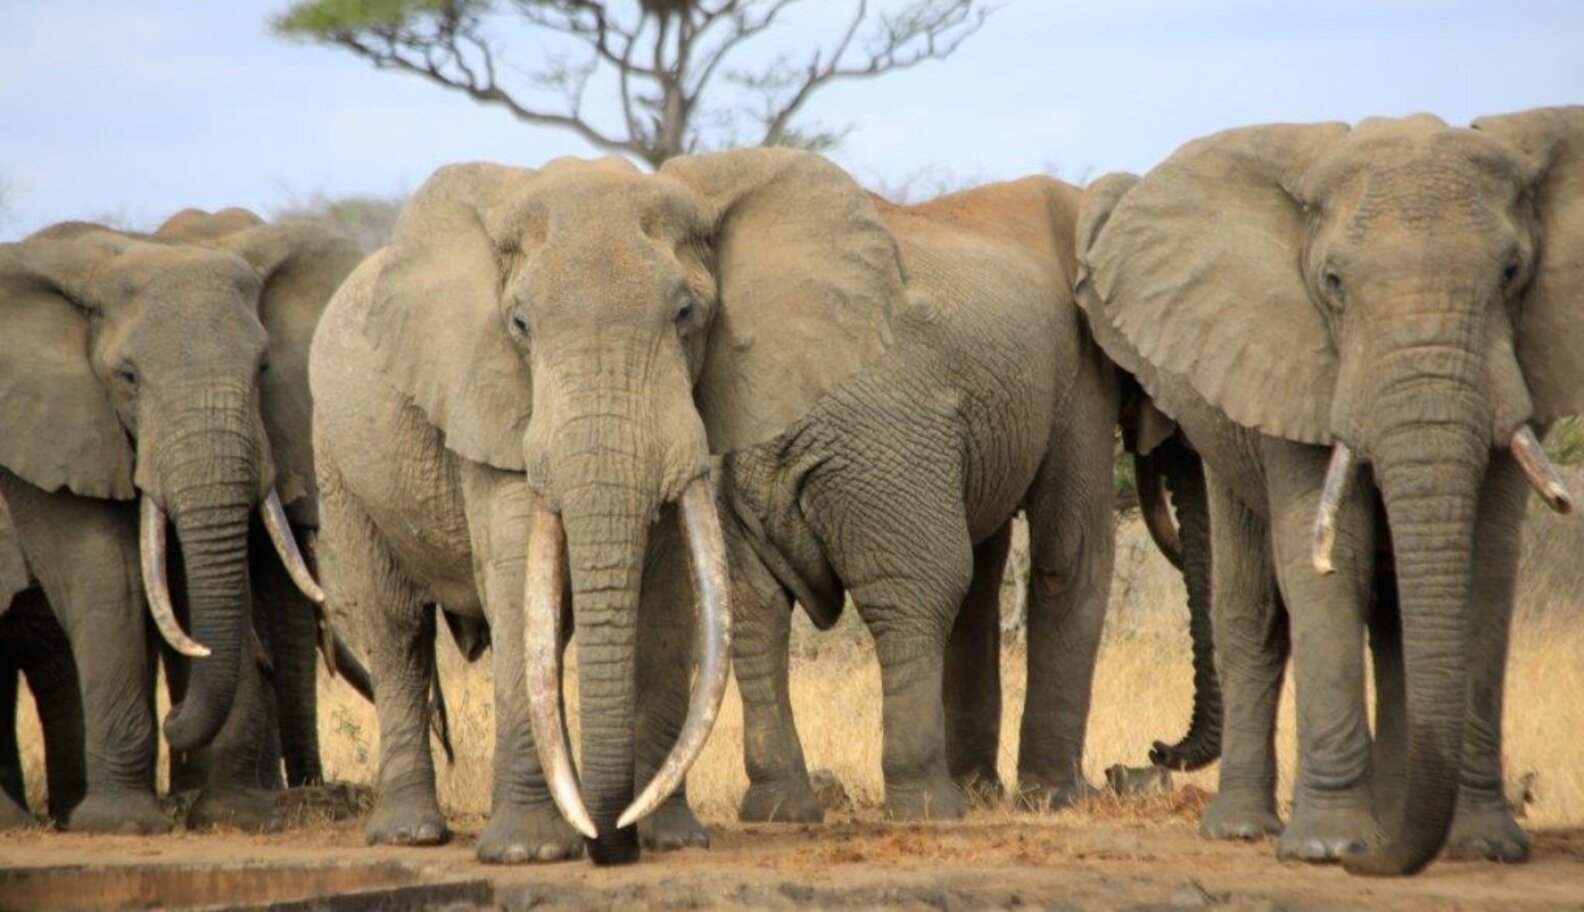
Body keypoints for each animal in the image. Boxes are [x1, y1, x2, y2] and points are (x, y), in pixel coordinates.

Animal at [0, 208, 361, 832]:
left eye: (263, 367)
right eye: (127, 377)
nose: (174, 722)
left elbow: (195, 581)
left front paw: (233, 814)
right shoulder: (47, 430)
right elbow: (110, 576)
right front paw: (123, 824)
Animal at [311, 148, 1120, 866]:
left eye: (685, 313)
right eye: (518, 326)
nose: (607, 845)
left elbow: (674, 592)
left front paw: (670, 841)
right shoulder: (487, 404)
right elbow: (516, 583)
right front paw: (528, 853)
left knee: (829, 597)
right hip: (334, 457)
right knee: (395, 627)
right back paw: (411, 835)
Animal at [1074, 107, 1583, 876]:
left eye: (1512, 274)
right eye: (1334, 282)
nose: (1152, 751)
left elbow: (1485, 568)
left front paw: (1483, 846)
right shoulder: (1290, 364)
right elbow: (1326, 564)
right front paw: (1330, 847)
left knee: (1395, 620)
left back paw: (1396, 822)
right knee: (1255, 609)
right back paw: (1246, 830)